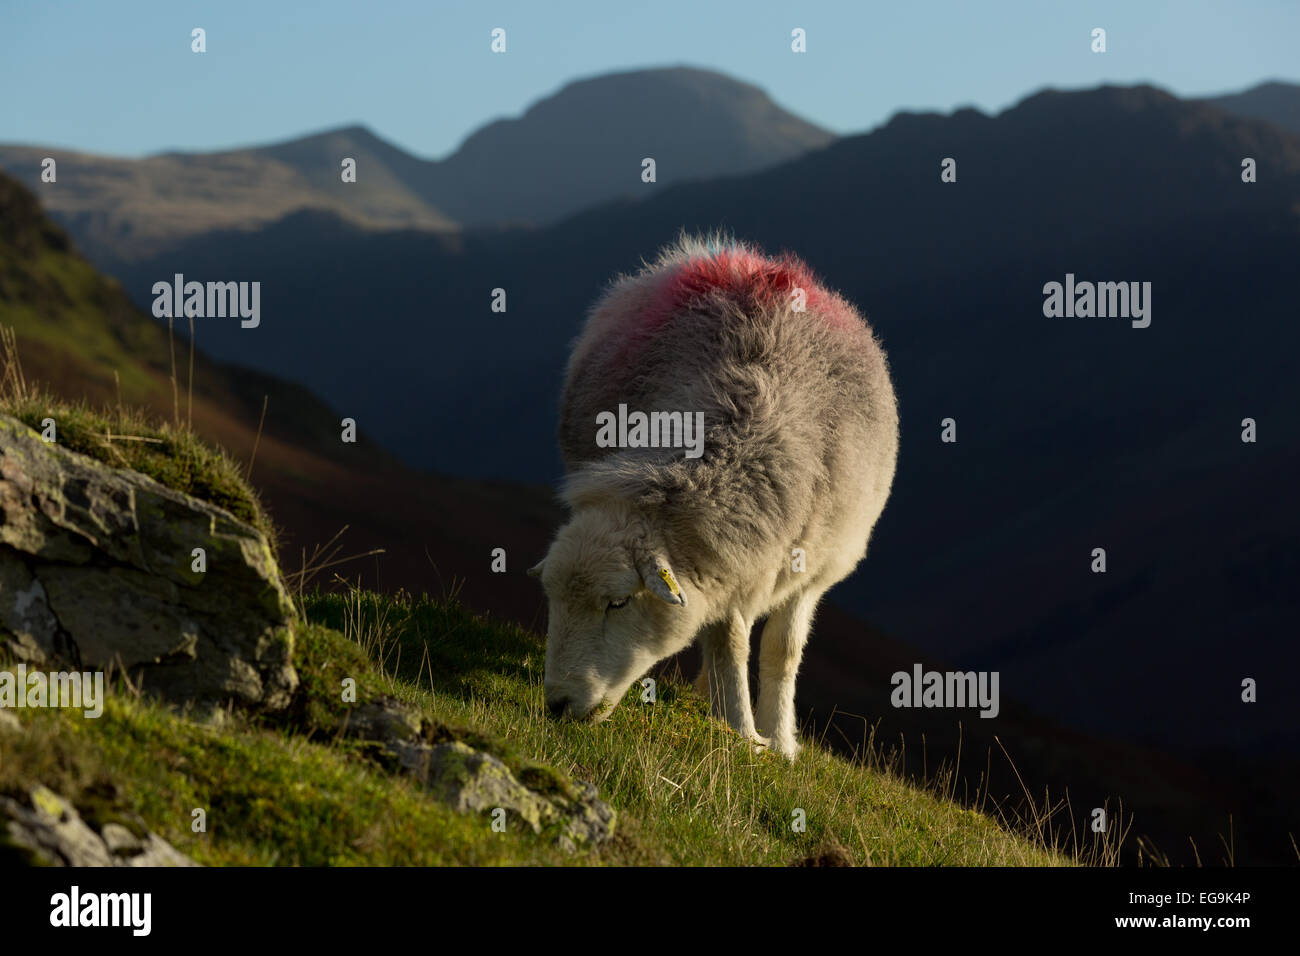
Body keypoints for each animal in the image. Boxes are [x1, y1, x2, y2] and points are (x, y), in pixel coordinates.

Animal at [527, 235, 894, 759]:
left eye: (618, 603)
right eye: (552, 598)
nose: (557, 704)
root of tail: (730, 255)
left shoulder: (809, 568)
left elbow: (782, 651)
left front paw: (778, 742)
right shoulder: (727, 558)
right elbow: (729, 641)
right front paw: (741, 729)